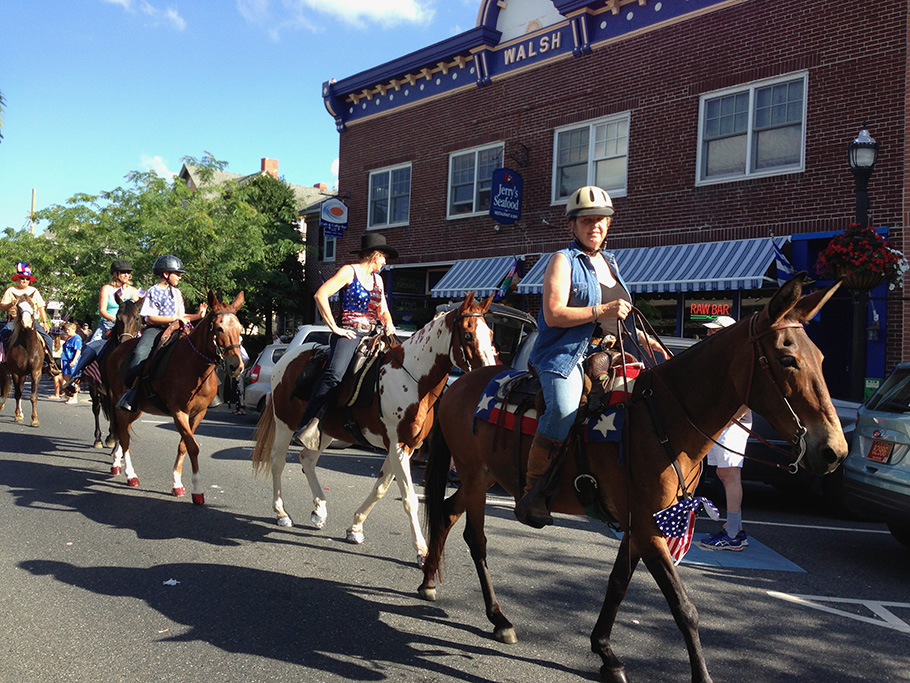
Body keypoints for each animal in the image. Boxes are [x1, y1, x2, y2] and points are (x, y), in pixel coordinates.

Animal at [0, 296, 45, 428]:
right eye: (18, 307)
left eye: (32, 305)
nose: (27, 323)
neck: (28, 346)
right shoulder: (16, 372)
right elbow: (18, 394)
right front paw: (18, 416)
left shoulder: (36, 372)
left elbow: (33, 396)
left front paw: (34, 420)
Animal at [105, 288, 246, 502]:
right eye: (219, 328)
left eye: (240, 328)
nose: (236, 366)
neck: (194, 366)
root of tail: (118, 349)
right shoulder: (179, 412)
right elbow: (193, 446)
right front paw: (197, 490)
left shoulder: (199, 413)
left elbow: (184, 445)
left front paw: (177, 483)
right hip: (120, 405)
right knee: (124, 435)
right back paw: (130, 474)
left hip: (134, 409)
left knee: (124, 432)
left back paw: (117, 463)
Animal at [418, 276, 848, 683]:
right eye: (787, 358)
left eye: (821, 357)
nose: (834, 451)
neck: (665, 419)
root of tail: (459, 384)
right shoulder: (647, 526)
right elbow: (683, 605)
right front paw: (701, 674)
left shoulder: (641, 524)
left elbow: (618, 583)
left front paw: (605, 652)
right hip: (475, 476)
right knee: (476, 539)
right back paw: (499, 617)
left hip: (481, 476)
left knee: (446, 511)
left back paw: (428, 581)